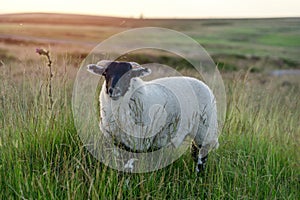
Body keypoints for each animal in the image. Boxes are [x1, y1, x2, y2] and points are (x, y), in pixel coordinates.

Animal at [86, 59, 218, 172]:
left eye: (129, 75)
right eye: (105, 73)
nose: (113, 90)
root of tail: (201, 82)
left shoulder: (138, 142)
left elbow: (130, 166)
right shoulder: (116, 141)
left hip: (205, 129)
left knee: (201, 156)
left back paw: (198, 175)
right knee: (195, 152)